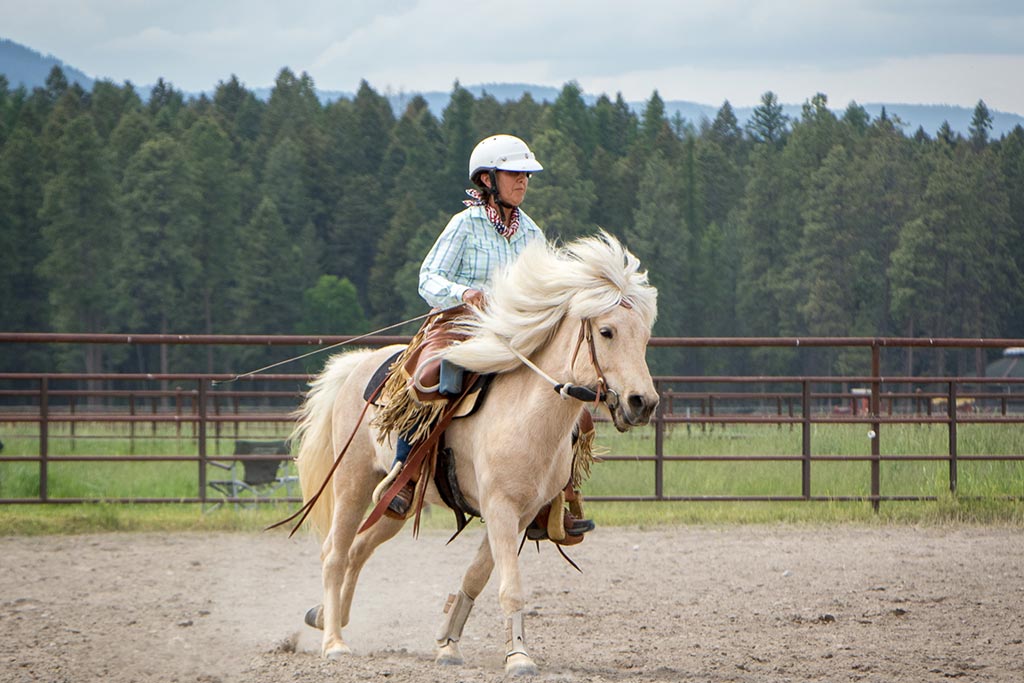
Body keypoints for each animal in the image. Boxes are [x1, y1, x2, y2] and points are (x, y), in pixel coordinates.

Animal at [290, 231, 655, 679]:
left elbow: (476, 578)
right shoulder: (499, 508)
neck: (524, 412)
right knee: (335, 554)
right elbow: (510, 588)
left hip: (393, 504)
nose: (643, 402)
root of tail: (359, 365)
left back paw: (329, 616)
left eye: (645, 336)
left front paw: (448, 644)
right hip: (352, 482)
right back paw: (334, 643)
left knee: (359, 549)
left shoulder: (519, 515)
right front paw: (518, 658)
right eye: (606, 331)